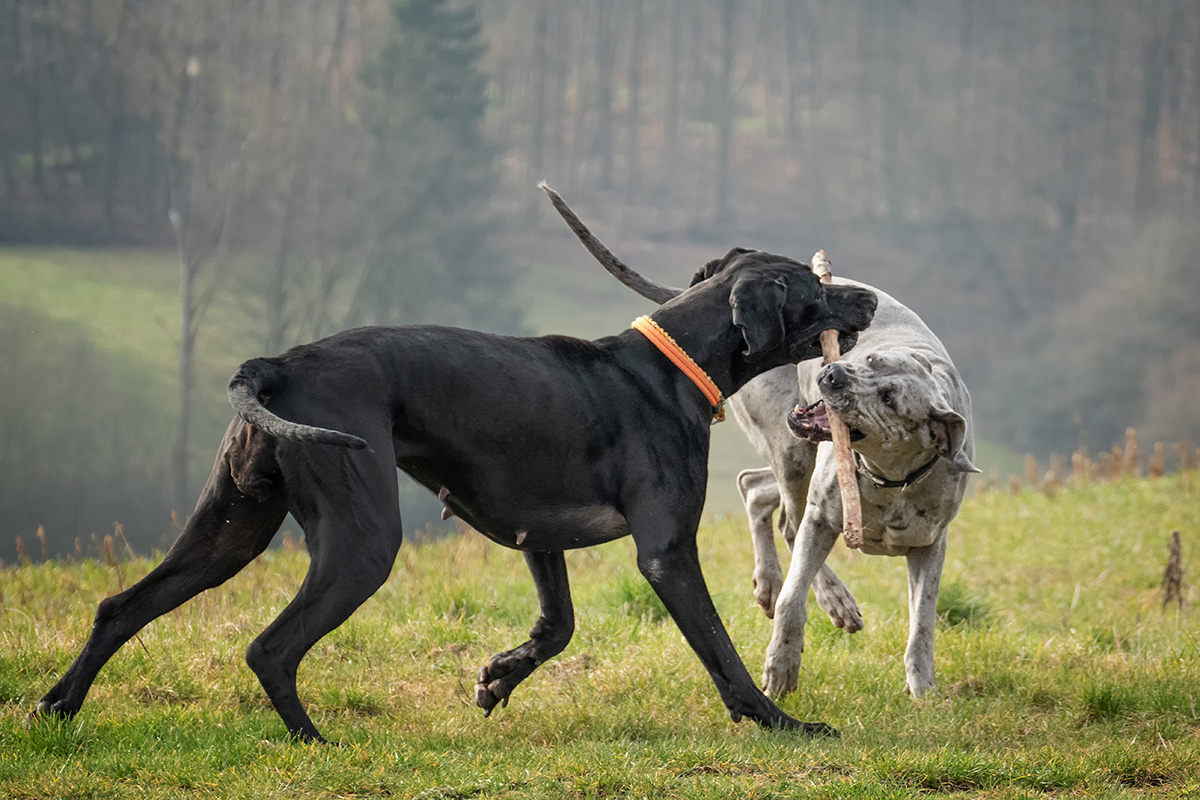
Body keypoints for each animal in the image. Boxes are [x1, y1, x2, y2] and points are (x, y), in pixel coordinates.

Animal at [32, 209, 878, 743]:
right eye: (814, 289)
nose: (869, 294)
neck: (668, 367)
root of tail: (275, 365)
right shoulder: (665, 552)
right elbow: (721, 651)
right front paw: (782, 723)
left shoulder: (542, 535)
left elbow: (556, 628)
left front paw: (499, 678)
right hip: (361, 542)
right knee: (270, 647)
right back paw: (313, 742)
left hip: (229, 529)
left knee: (119, 607)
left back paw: (56, 709)